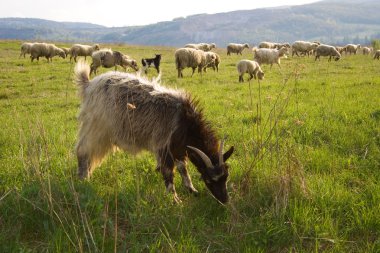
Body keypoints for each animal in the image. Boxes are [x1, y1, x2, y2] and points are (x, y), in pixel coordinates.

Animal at [74, 59, 235, 204]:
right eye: (209, 179)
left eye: (226, 176)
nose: (225, 200)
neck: (184, 121)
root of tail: (88, 85)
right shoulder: (164, 147)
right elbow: (169, 173)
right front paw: (175, 200)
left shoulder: (178, 148)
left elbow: (183, 168)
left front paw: (191, 189)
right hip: (96, 128)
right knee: (83, 151)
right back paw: (83, 179)